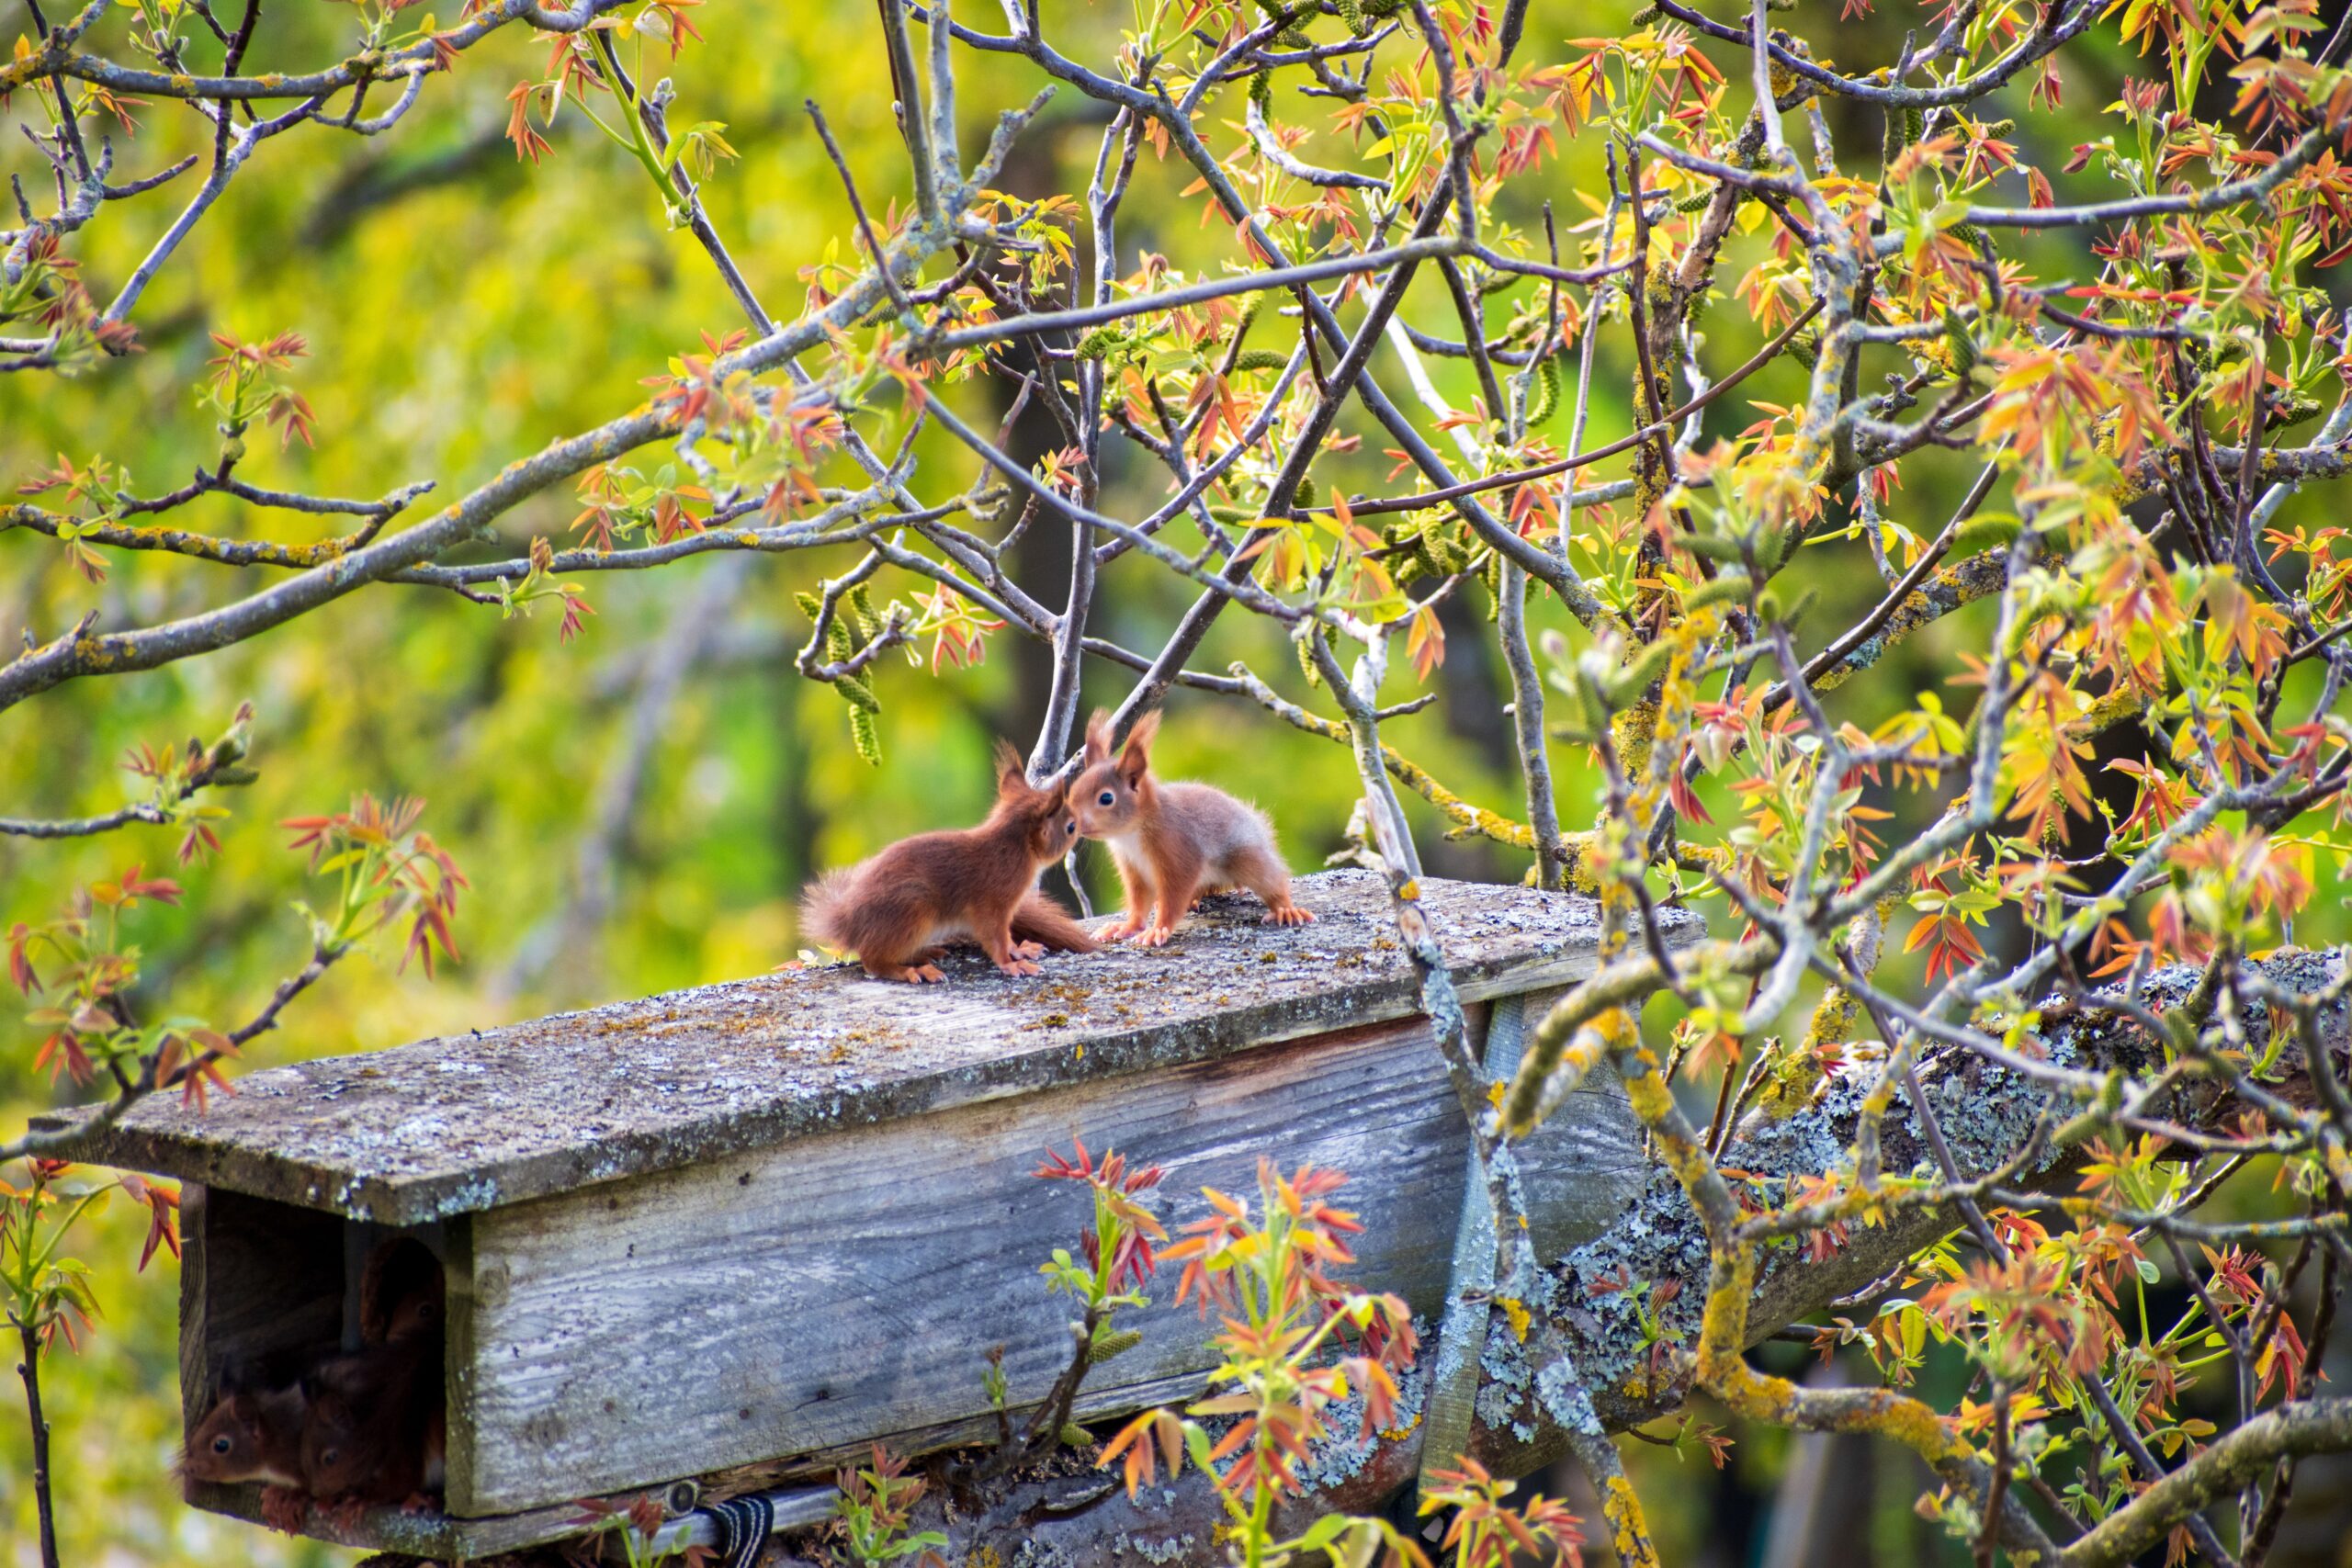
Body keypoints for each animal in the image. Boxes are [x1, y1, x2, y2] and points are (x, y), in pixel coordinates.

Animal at [800, 740, 1099, 982]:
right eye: (1071, 827)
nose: (1086, 829)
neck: (1014, 847)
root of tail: (849, 921)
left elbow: (1006, 939)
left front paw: (1021, 949)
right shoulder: (991, 904)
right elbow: (996, 939)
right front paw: (1011, 964)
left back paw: (924, 953)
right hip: (912, 911)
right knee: (873, 961)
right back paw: (912, 971)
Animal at [1070, 709, 1314, 945]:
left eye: (1106, 798)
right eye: (1073, 789)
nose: (1073, 825)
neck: (1131, 834)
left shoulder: (1178, 850)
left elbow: (1174, 897)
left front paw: (1157, 930)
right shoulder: (1133, 867)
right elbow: (1139, 902)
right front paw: (1126, 927)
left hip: (1248, 858)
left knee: (1271, 882)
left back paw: (1286, 910)